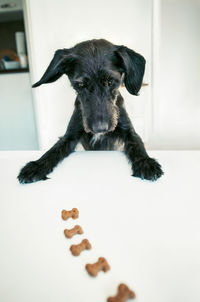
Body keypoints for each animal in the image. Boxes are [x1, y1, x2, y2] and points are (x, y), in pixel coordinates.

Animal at [18, 38, 163, 183]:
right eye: (80, 85)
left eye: (111, 82)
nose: (100, 128)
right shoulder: (70, 136)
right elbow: (54, 150)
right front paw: (36, 166)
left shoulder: (129, 131)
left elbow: (137, 145)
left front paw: (146, 163)